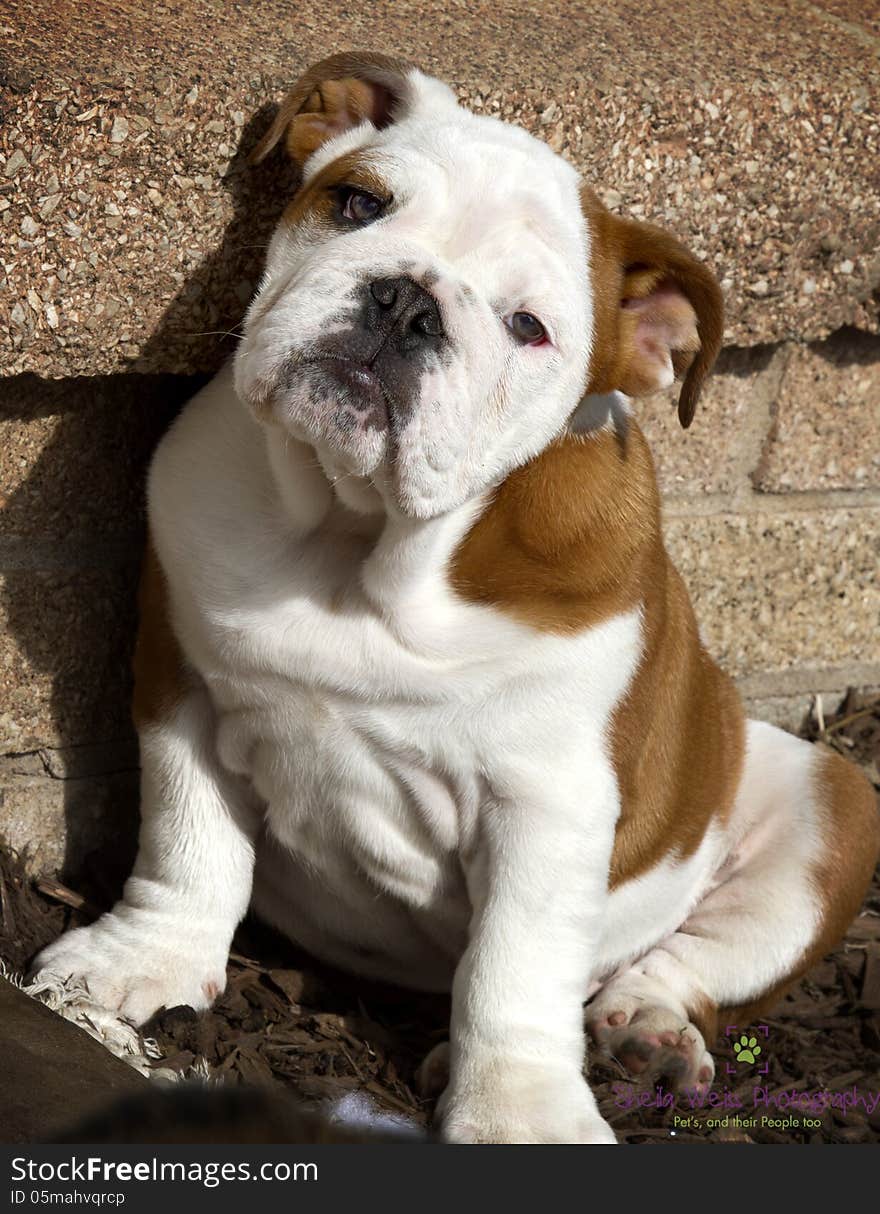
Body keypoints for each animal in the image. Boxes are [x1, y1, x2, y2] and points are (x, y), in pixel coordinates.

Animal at [36, 49, 878, 1146]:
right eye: (358, 203)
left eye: (529, 328)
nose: (407, 301)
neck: (358, 540)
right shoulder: (181, 679)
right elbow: (189, 839)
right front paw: (139, 958)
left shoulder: (548, 803)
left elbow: (514, 966)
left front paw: (521, 1112)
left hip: (832, 803)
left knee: (681, 964)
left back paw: (646, 1032)